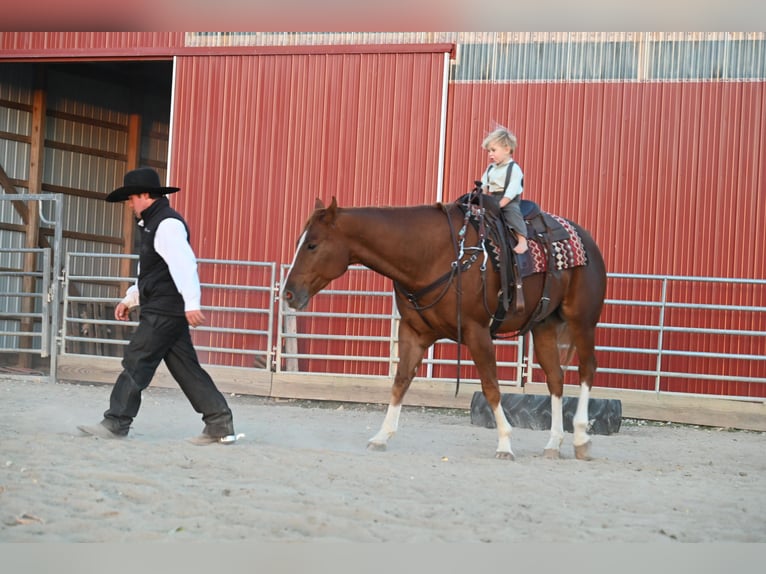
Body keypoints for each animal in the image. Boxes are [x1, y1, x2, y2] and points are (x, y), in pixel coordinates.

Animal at [282, 196, 608, 462]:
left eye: (312, 245)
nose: (288, 293)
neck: (432, 255)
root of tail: (587, 240)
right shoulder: (413, 333)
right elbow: (400, 382)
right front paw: (381, 436)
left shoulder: (477, 332)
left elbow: (491, 386)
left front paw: (505, 443)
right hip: (543, 327)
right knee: (555, 379)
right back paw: (553, 443)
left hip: (582, 322)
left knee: (587, 370)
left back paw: (581, 438)